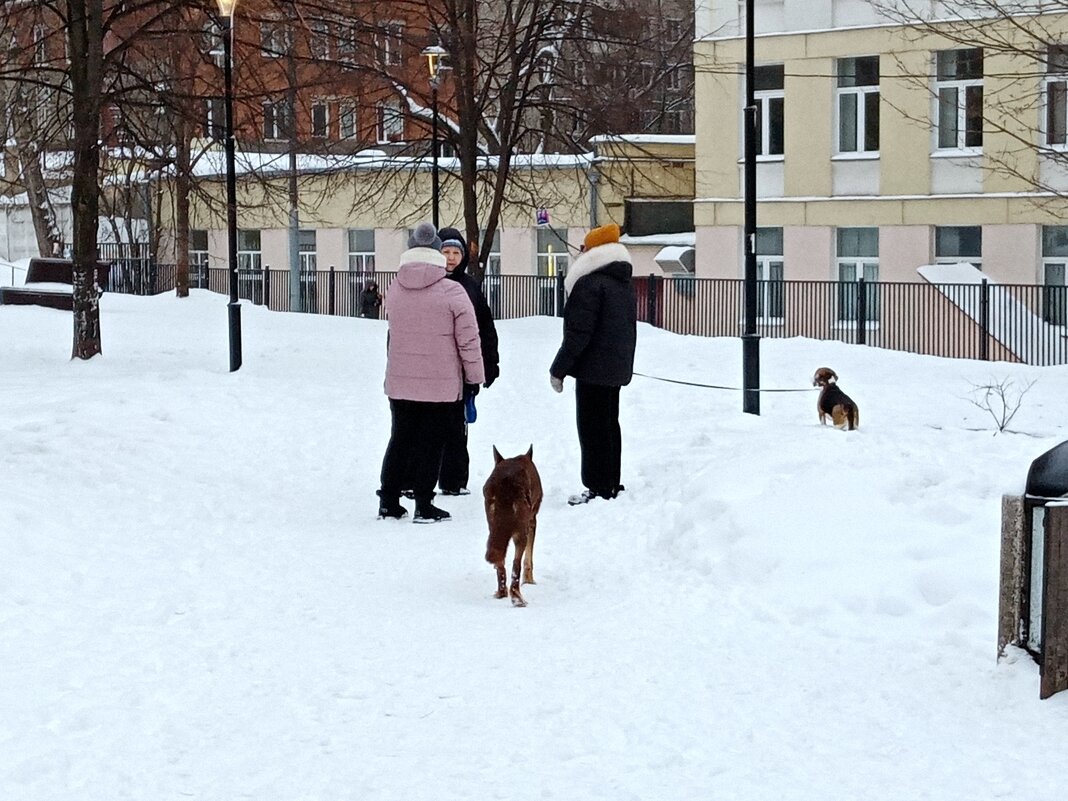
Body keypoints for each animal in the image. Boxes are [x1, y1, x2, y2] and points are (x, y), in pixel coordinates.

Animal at [484, 446, 542, 606]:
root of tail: (506, 484)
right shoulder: (532, 522)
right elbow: (528, 559)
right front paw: (529, 581)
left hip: (494, 528)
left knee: (500, 563)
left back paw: (502, 593)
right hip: (520, 532)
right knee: (516, 564)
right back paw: (517, 598)